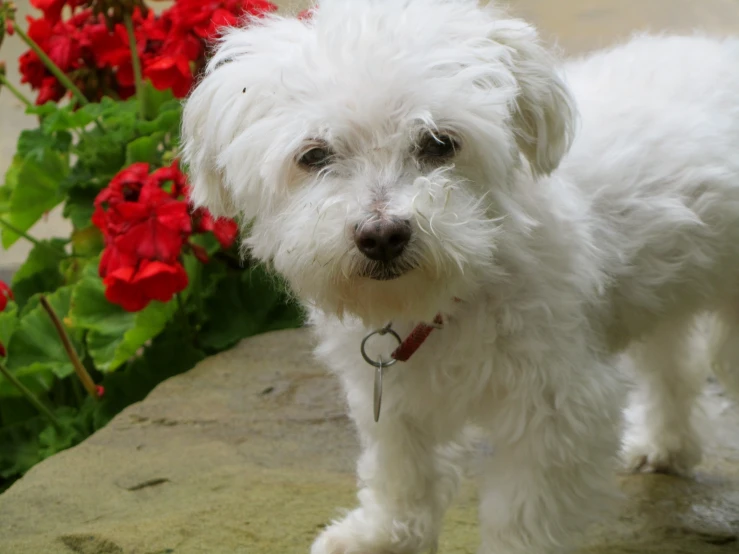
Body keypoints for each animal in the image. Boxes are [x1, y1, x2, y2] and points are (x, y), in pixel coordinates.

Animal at [182, 2, 739, 548]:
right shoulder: (388, 393)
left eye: (439, 143)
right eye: (314, 154)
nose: (382, 235)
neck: (456, 288)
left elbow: (522, 514)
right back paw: (666, 444)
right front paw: (384, 533)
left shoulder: (558, 408)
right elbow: (400, 469)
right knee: (675, 363)